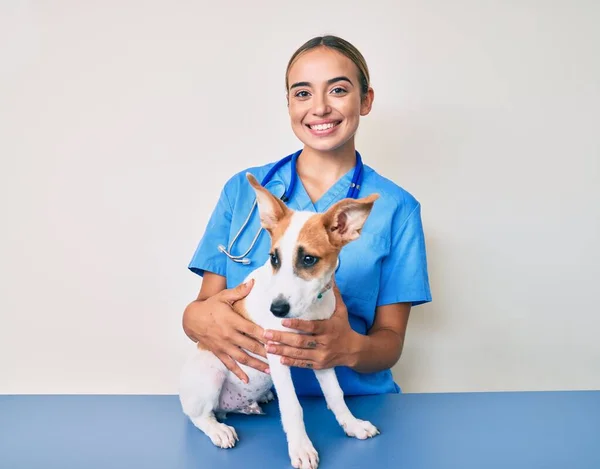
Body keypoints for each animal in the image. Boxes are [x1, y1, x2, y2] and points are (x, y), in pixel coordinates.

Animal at [178, 173, 382, 468]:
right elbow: (292, 406)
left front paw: (352, 424)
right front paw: (301, 448)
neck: (309, 309)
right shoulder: (275, 352)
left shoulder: (321, 352)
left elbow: (336, 393)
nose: (276, 309)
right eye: (274, 258)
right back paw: (218, 429)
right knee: (198, 416)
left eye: (308, 259)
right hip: (210, 372)